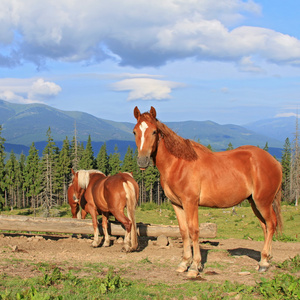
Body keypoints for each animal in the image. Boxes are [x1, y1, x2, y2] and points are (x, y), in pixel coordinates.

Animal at [132, 106, 282, 278]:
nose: (142, 161)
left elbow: (194, 231)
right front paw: (184, 263)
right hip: (254, 203)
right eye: (135, 132)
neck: (178, 164)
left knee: (271, 224)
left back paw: (264, 263)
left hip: (263, 202)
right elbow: (184, 231)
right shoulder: (177, 204)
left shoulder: (190, 202)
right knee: (265, 226)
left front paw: (194, 267)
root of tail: (275, 162)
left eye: (154, 131)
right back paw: (265, 259)